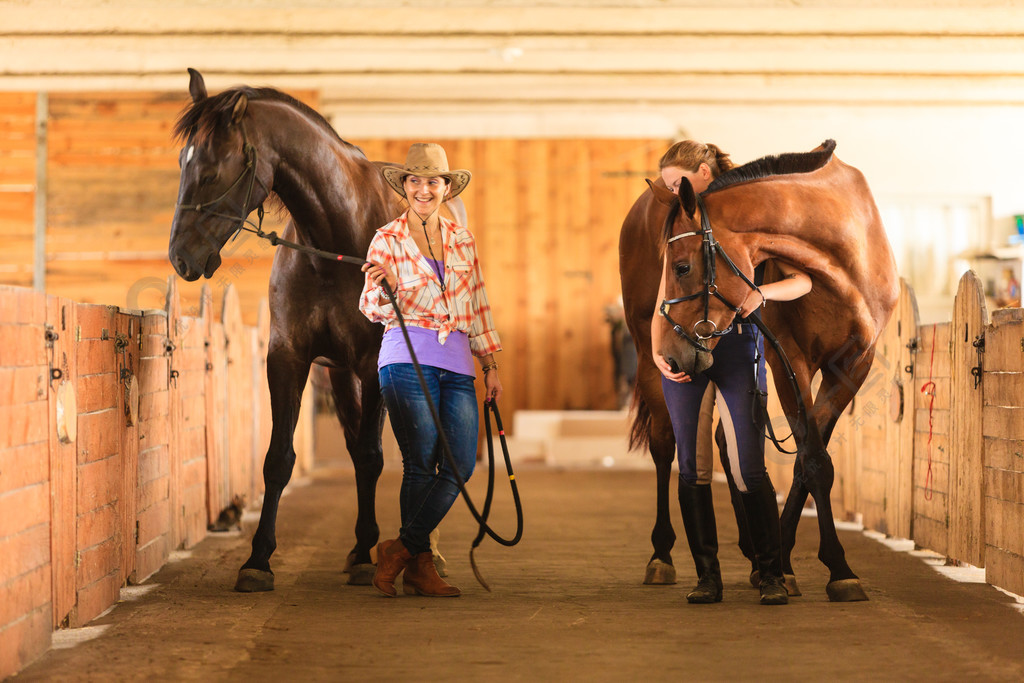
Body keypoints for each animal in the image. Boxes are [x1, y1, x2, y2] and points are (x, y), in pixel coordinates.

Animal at [169, 70, 466, 593]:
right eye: (183, 164)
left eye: (210, 170)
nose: (179, 256)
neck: (334, 243)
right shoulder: (290, 357)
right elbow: (279, 458)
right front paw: (258, 560)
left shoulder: (373, 364)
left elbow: (371, 455)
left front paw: (371, 555)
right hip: (339, 374)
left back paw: (420, 552)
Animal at [614, 141, 897, 602]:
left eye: (681, 266)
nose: (671, 352)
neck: (846, 262)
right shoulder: (789, 360)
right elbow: (813, 457)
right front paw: (824, 566)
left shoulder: (854, 366)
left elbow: (809, 460)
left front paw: (793, 560)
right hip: (646, 357)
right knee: (665, 444)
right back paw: (661, 554)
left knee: (724, 443)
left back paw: (750, 549)